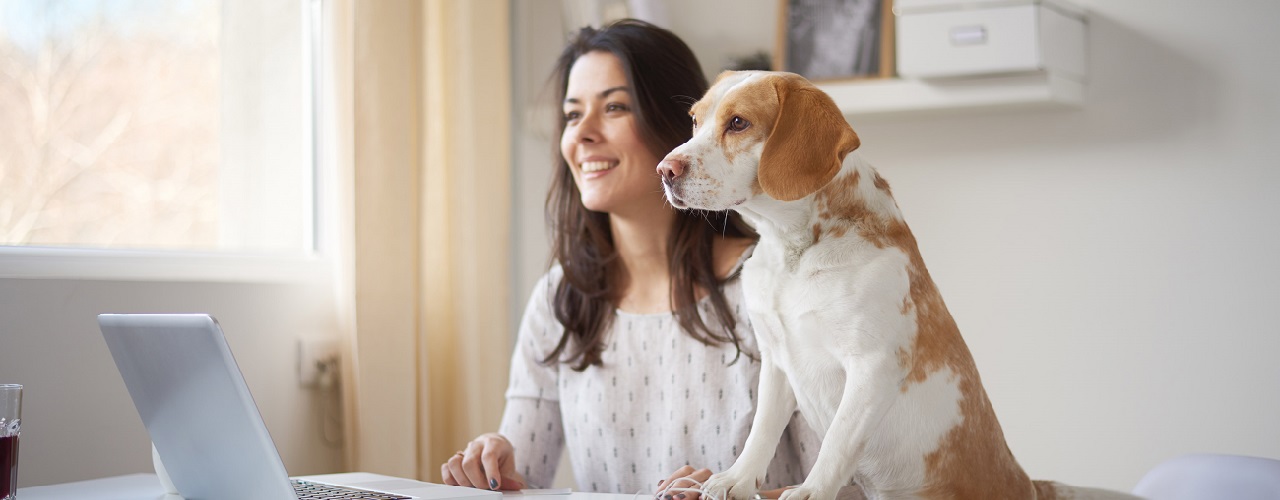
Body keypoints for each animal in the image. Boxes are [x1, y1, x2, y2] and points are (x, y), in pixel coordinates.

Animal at [660, 72, 1141, 500]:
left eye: (739, 122)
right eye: (695, 120)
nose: (665, 170)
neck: (792, 254)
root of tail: (1031, 486)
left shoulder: (872, 366)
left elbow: (835, 444)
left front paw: (810, 492)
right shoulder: (777, 361)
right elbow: (761, 433)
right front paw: (735, 480)